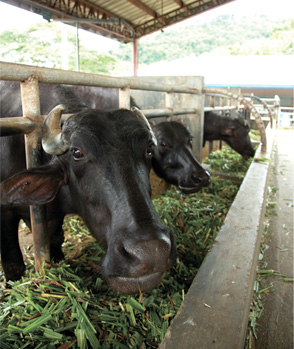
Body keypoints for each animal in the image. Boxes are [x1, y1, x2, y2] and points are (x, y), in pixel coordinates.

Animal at [0, 105, 177, 294]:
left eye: (149, 149)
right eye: (77, 152)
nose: (152, 252)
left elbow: (56, 243)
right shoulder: (6, 214)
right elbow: (13, 264)